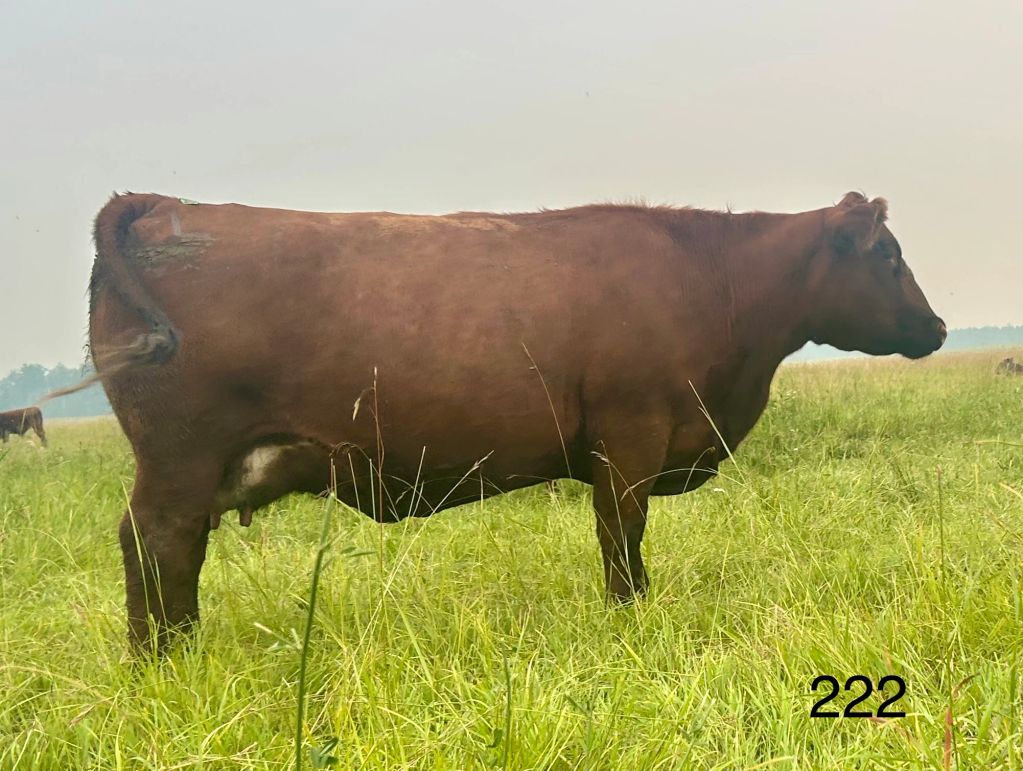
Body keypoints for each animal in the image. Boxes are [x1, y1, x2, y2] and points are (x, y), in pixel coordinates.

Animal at [79, 190, 944, 652]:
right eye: (889, 255)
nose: (935, 327)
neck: (717, 282)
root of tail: (157, 205)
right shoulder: (630, 439)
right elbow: (620, 539)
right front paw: (627, 618)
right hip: (179, 457)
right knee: (158, 542)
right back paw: (163, 655)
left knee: (164, 547)